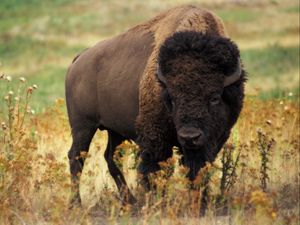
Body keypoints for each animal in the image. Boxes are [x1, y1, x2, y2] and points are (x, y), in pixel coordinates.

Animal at [65, 5, 246, 212]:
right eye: (172, 98)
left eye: (215, 97)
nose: (189, 136)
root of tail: (78, 60)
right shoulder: (156, 138)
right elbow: (155, 170)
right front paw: (158, 201)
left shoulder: (214, 139)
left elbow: (197, 168)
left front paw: (199, 202)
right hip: (83, 126)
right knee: (76, 157)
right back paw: (76, 204)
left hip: (114, 130)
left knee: (110, 158)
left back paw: (130, 201)